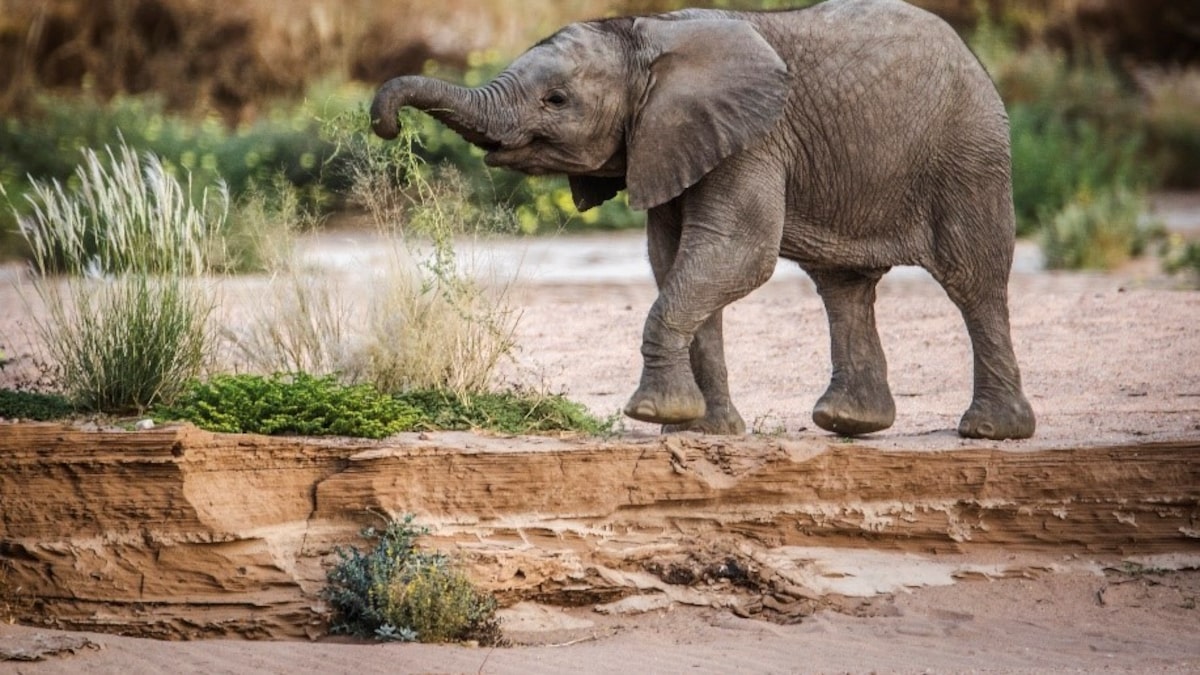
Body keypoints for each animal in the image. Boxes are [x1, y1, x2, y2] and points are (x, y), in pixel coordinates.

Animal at [370, 0, 1037, 440]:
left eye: (556, 101)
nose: (387, 126)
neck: (646, 33)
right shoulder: (670, 139)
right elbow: (675, 261)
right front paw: (701, 432)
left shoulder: (753, 137)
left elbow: (735, 253)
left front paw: (655, 416)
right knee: (843, 285)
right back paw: (847, 422)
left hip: (969, 151)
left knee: (973, 279)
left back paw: (989, 432)